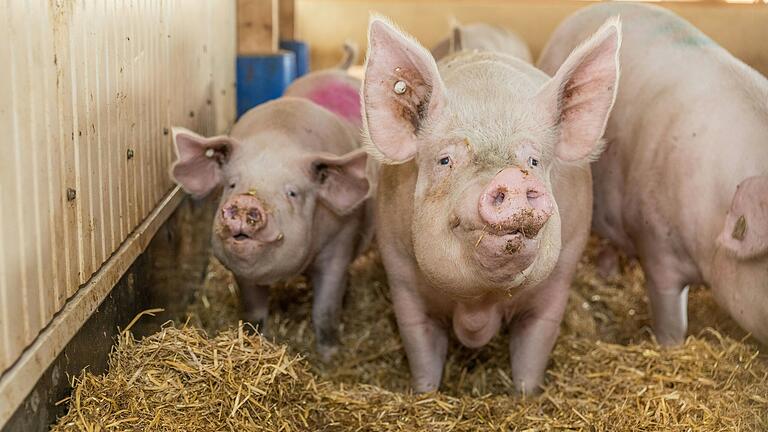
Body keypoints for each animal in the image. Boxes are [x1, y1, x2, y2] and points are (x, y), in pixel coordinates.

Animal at [170, 46, 372, 362]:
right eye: (231, 184)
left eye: (292, 192)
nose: (245, 201)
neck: (279, 136)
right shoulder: (243, 273)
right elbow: (254, 312)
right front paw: (256, 340)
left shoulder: (342, 241)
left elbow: (325, 311)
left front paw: (328, 358)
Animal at [364, 16, 620, 394]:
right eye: (445, 160)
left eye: (533, 161)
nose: (511, 177)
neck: (480, 303)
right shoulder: (401, 276)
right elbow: (421, 351)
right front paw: (423, 394)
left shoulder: (559, 280)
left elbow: (533, 350)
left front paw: (525, 397)